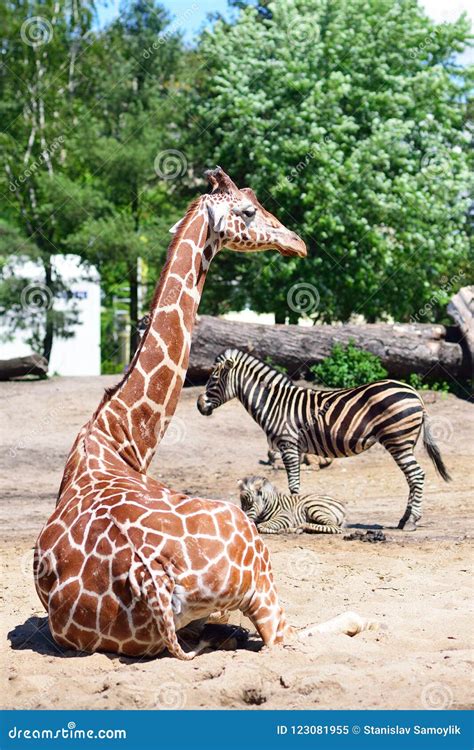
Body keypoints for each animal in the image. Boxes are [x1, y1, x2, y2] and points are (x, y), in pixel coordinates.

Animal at [34, 167, 377, 659]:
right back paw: (356, 619)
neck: (118, 437)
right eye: (249, 210)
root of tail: (152, 579)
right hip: (256, 563)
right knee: (284, 637)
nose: (297, 242)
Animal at [197, 348, 451, 530]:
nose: (199, 406)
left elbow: (294, 485)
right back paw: (404, 519)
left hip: (398, 440)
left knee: (417, 475)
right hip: (403, 443)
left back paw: (411, 521)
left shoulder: (288, 444)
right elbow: (295, 483)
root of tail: (414, 393)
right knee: (412, 478)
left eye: (214, 378)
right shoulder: (297, 448)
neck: (275, 404)